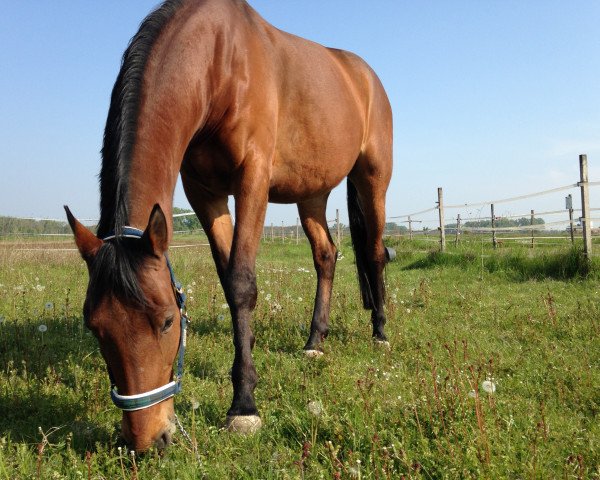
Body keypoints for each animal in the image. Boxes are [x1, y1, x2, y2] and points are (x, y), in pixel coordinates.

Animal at [67, 0, 394, 452]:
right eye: (94, 326)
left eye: (167, 320)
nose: (147, 438)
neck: (219, 63)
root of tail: (365, 76)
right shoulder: (204, 194)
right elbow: (228, 281)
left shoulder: (252, 179)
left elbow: (241, 283)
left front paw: (244, 404)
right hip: (311, 194)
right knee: (326, 256)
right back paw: (314, 342)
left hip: (372, 178)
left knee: (376, 252)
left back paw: (380, 332)